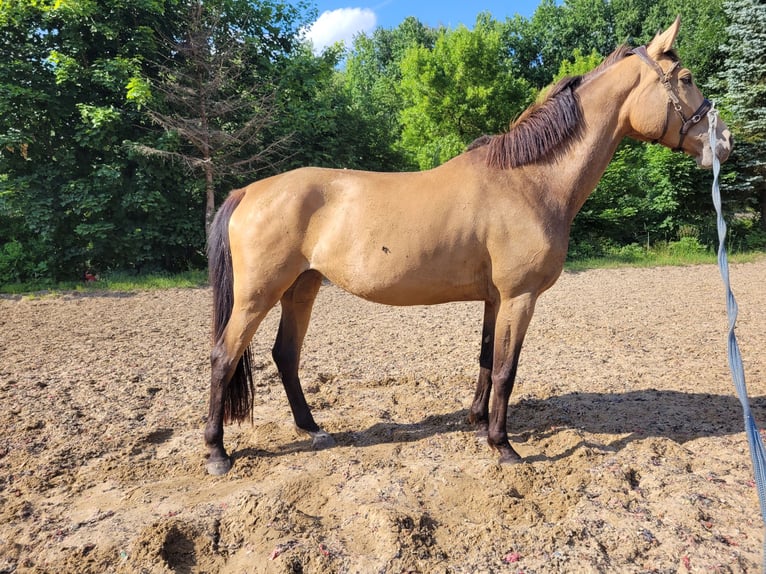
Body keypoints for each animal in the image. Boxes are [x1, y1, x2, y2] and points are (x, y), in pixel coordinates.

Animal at [201, 18, 736, 476]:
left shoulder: (495, 299)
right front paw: (503, 445)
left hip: (302, 287)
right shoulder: (520, 297)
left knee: (285, 355)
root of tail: (248, 191)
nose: (725, 143)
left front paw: (477, 423)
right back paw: (217, 453)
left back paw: (312, 429)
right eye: (686, 78)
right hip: (257, 295)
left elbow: (484, 360)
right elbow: (506, 370)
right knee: (224, 356)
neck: (529, 181)